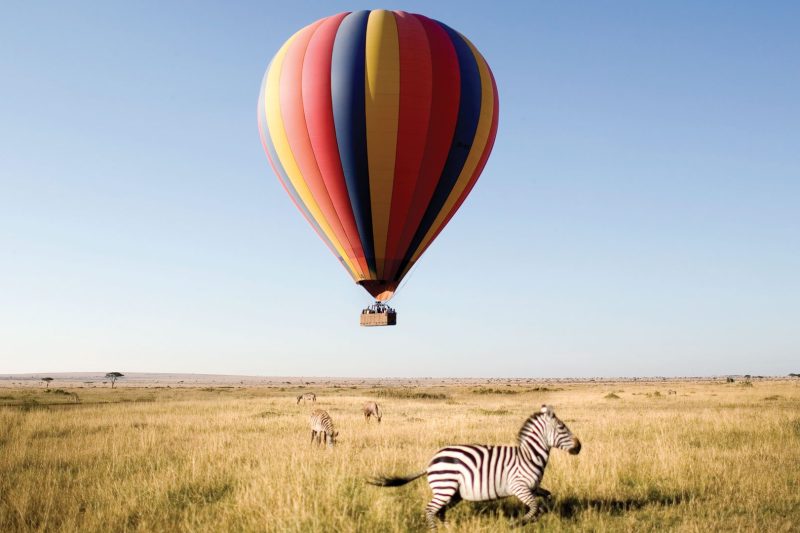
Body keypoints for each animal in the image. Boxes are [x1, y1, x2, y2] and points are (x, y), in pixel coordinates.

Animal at [368, 406, 580, 524]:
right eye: (562, 427)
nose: (579, 446)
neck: (529, 456)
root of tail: (431, 462)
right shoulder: (518, 487)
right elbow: (535, 507)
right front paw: (518, 524)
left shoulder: (533, 488)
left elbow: (546, 499)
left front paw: (542, 516)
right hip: (445, 488)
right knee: (430, 510)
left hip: (453, 493)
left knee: (440, 512)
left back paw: (448, 529)